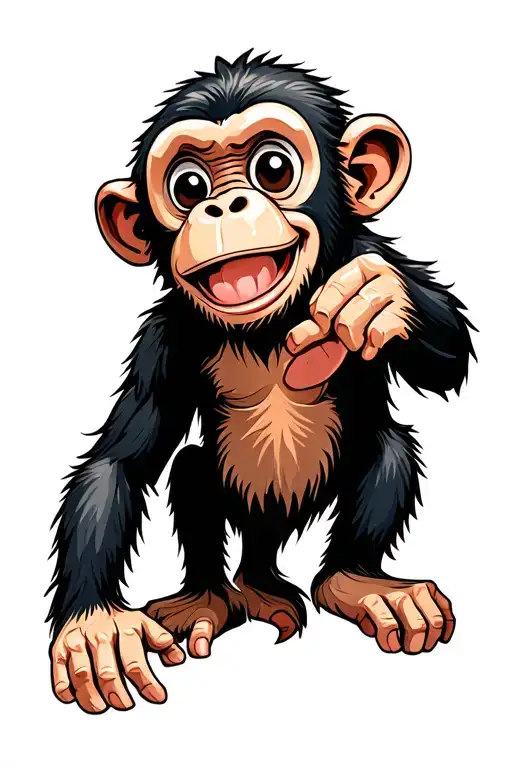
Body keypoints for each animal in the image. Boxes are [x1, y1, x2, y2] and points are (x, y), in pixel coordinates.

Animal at [47, 51, 475, 714]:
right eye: (188, 187)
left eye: (274, 168)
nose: (223, 206)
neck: (268, 330)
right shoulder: (163, 341)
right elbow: (120, 461)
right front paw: (93, 627)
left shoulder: (365, 247)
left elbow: (449, 353)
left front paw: (376, 297)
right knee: (192, 472)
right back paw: (210, 598)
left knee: (390, 448)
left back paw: (358, 582)